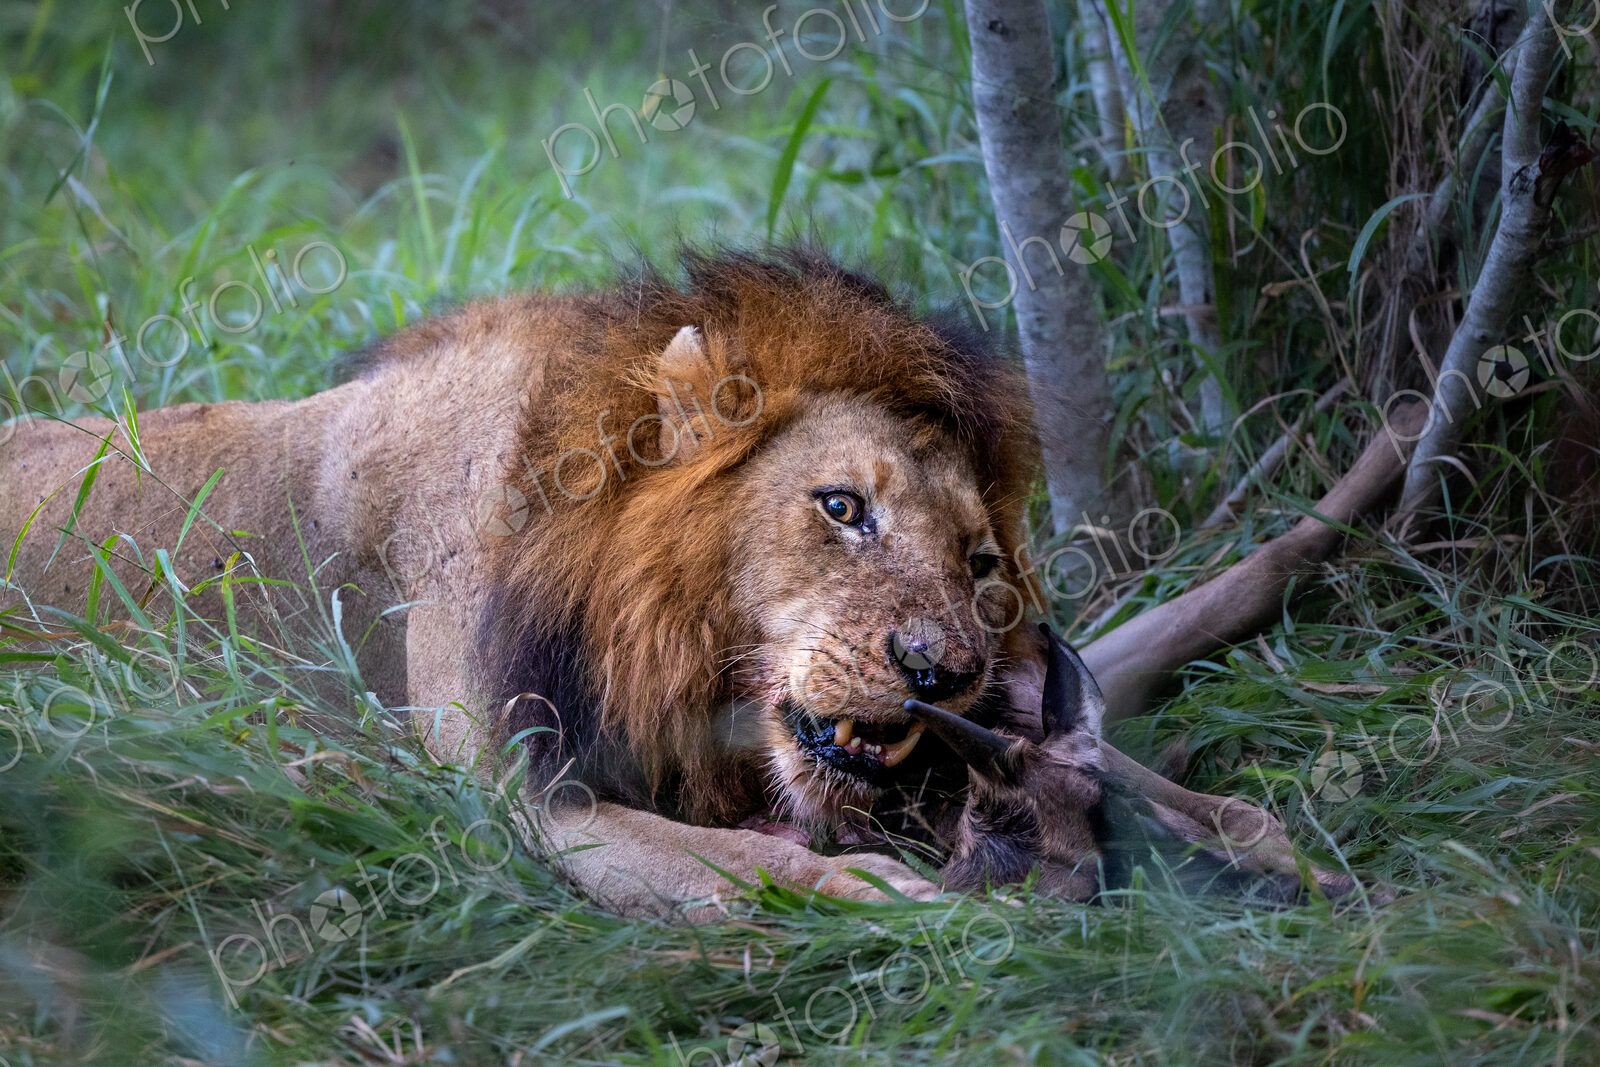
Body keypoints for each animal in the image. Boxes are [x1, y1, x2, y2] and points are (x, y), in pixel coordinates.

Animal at [1, 249, 1353, 917]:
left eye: (978, 559)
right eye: (841, 507)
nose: (943, 673)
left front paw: (1275, 850)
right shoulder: (527, 802)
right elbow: (777, 868)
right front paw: (945, 904)